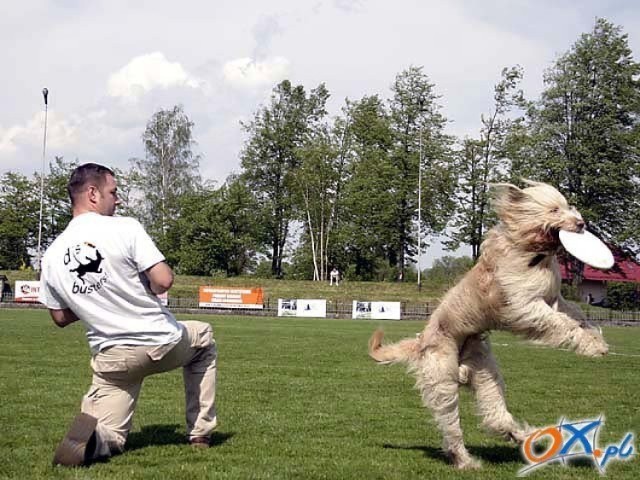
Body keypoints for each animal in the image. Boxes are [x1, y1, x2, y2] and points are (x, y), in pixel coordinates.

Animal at [368, 180, 608, 468]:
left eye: (567, 206)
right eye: (554, 210)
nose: (581, 223)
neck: (532, 254)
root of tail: (421, 341)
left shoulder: (555, 299)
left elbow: (577, 316)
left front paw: (596, 339)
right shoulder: (523, 305)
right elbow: (560, 323)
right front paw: (591, 345)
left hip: (484, 373)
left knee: (495, 414)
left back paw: (523, 435)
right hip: (443, 379)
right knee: (451, 426)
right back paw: (465, 460)